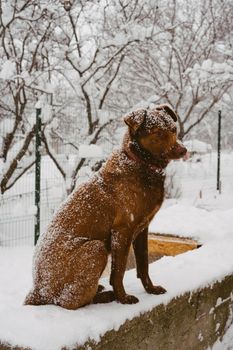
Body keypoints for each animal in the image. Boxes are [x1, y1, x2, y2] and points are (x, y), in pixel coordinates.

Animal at [24, 103, 187, 308]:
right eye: (157, 132)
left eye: (173, 129)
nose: (183, 150)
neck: (139, 163)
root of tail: (38, 290)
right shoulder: (122, 231)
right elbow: (118, 272)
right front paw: (123, 298)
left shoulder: (142, 229)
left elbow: (143, 265)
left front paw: (151, 289)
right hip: (96, 249)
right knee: (68, 302)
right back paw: (104, 296)